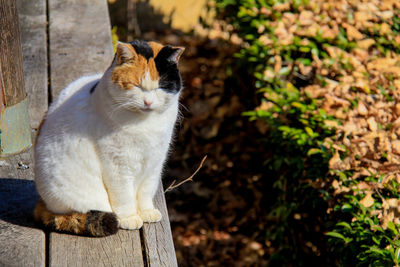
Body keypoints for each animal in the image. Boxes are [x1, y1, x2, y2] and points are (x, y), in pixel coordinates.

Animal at [34, 39, 184, 237]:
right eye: (136, 85)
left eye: (161, 86)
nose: (148, 102)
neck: (145, 123)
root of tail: (42, 201)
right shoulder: (117, 165)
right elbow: (124, 195)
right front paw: (129, 217)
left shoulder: (154, 161)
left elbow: (146, 189)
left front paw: (146, 211)